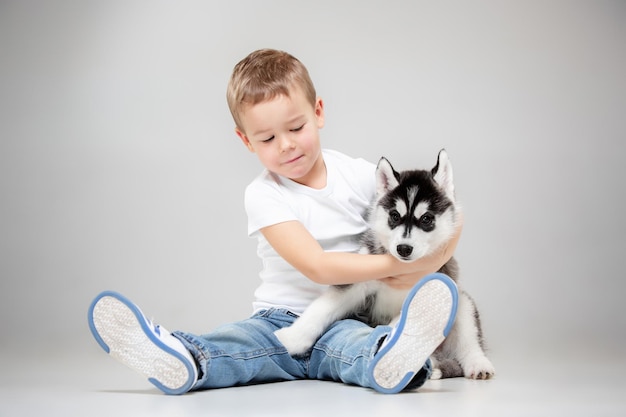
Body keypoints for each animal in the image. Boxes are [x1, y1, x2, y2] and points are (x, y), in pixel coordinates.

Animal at [272, 150, 492, 380]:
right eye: (394, 216)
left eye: (426, 219)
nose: (404, 248)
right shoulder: (356, 280)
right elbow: (322, 308)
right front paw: (291, 339)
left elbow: (403, 321)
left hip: (462, 302)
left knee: (469, 341)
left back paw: (477, 364)